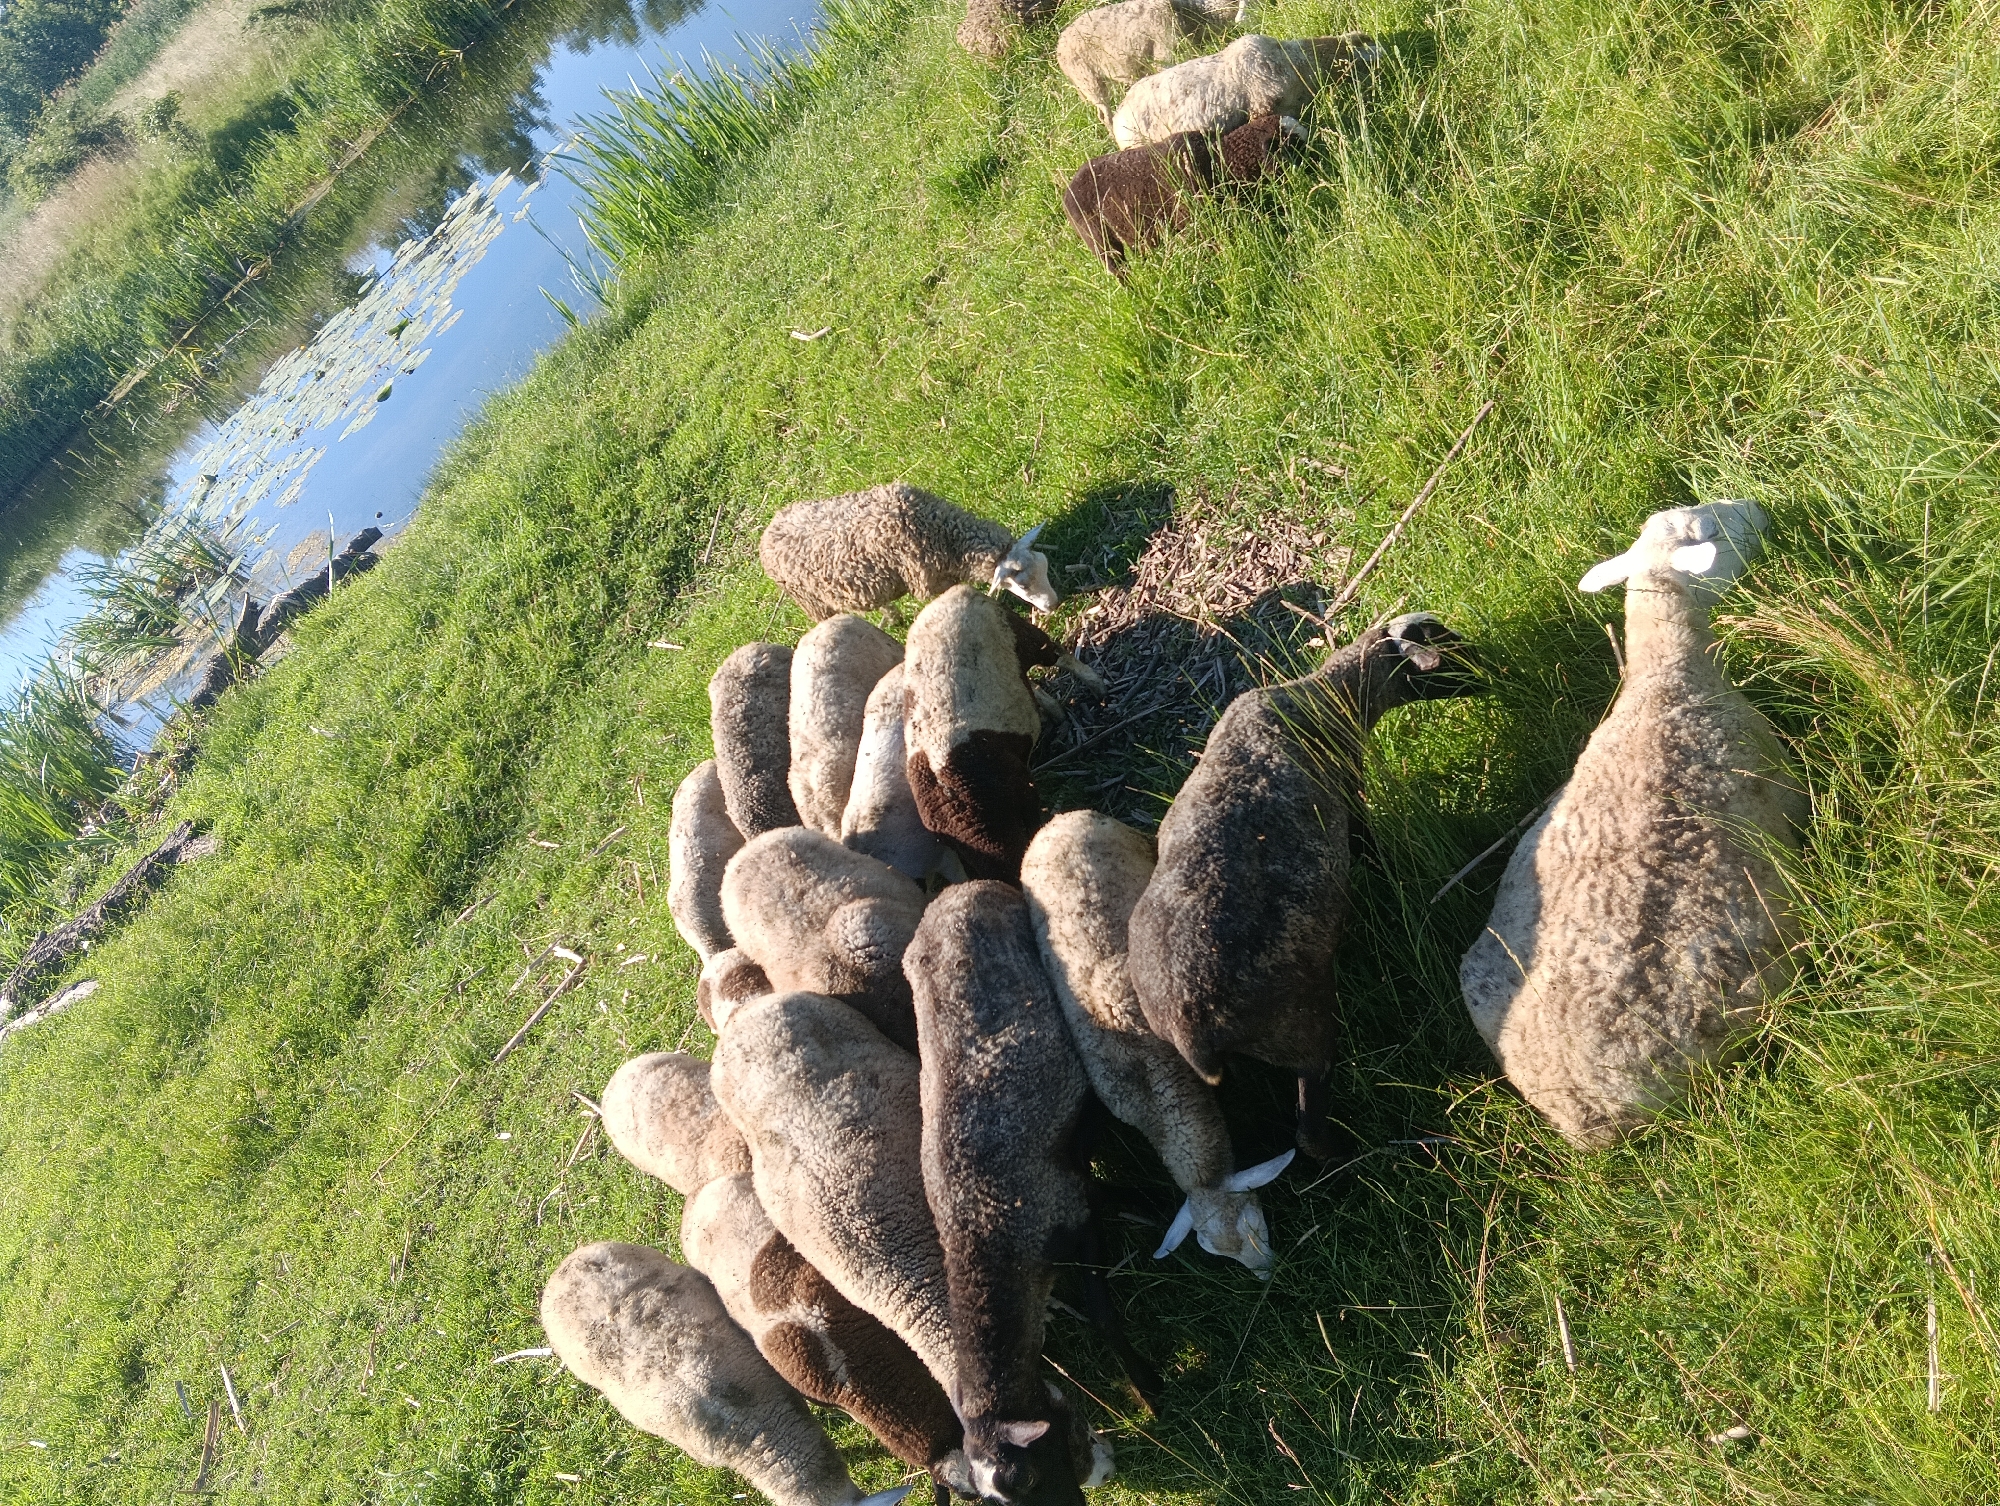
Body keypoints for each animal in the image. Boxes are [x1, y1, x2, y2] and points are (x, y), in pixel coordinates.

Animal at [760, 483, 1057, 620]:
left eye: (1045, 565)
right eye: (1023, 586)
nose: (1054, 604)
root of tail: (768, 531)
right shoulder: (929, 582)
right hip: (811, 602)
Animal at [1062, 114, 1299, 275]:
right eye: (1292, 143)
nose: (1305, 173)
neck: (1218, 160)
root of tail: (1067, 193)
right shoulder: (1197, 220)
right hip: (1101, 242)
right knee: (1119, 271)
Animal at [1128, 614, 1480, 1158]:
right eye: (1446, 649)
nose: (1490, 671)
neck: (1324, 699)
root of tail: (1191, 1030)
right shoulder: (1349, 795)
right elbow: (1367, 847)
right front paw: (1396, 875)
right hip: (1300, 1023)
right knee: (1309, 1123)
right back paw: (1350, 1152)